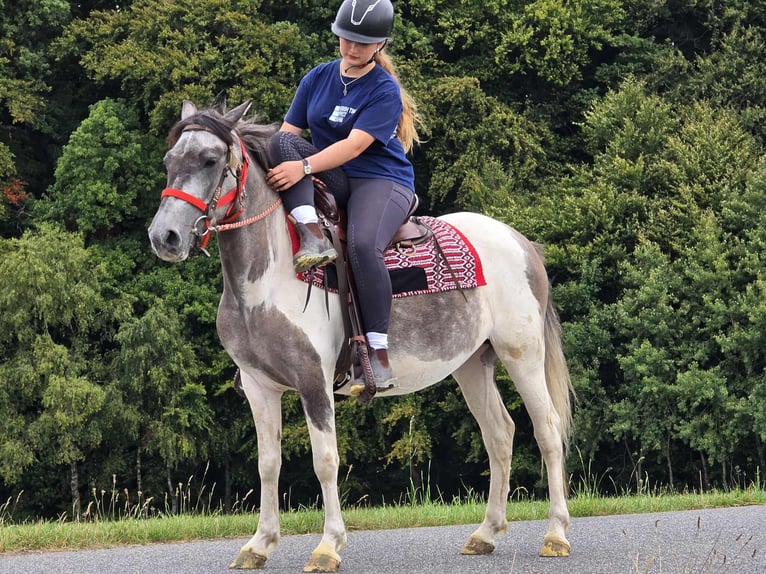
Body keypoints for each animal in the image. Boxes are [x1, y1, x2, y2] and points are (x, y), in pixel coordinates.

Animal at [148, 100, 574, 572]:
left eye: (209, 160)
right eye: (169, 161)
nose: (164, 237)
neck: (268, 280)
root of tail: (520, 241)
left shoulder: (314, 383)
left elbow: (325, 460)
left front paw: (327, 545)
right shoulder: (260, 387)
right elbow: (268, 463)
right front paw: (259, 544)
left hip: (522, 354)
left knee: (547, 430)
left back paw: (556, 534)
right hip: (472, 363)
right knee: (499, 433)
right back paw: (486, 534)